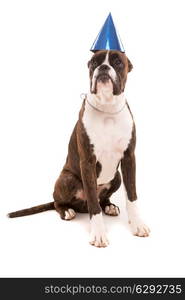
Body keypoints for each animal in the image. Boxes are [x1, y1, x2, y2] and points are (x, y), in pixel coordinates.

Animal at [8, 50, 150, 247]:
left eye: (118, 62)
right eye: (94, 63)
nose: (103, 67)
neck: (107, 107)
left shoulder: (129, 158)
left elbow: (132, 195)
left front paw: (137, 224)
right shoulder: (87, 163)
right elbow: (93, 202)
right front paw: (98, 233)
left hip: (117, 177)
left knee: (102, 198)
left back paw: (109, 206)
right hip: (67, 179)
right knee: (58, 202)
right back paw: (67, 210)